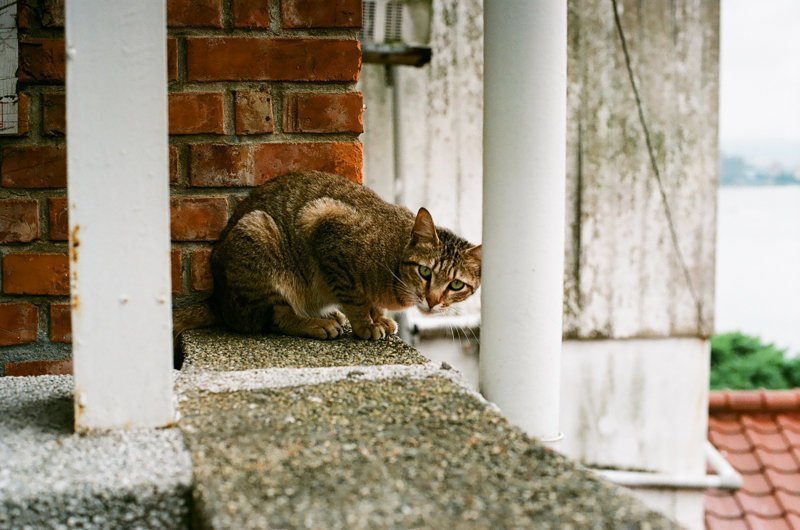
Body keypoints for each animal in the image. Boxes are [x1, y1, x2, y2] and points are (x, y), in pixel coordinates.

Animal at [175, 171, 482, 340]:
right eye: (425, 272)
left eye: (456, 285)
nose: (432, 301)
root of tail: (217, 298)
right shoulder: (324, 224)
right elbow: (355, 298)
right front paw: (365, 324)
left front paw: (378, 317)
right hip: (258, 233)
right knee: (275, 318)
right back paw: (315, 323)